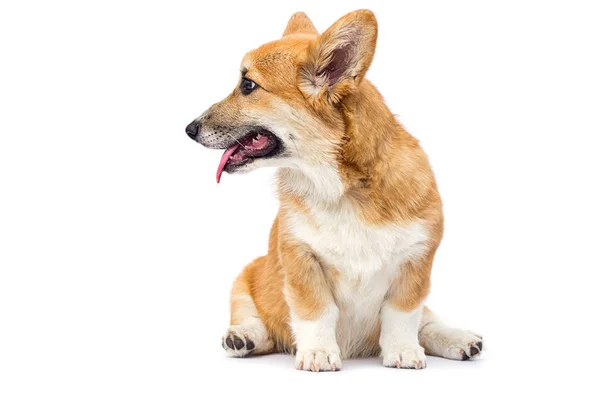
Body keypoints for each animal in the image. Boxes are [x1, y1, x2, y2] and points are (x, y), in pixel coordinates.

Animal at [186, 9, 482, 372]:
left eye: (248, 85)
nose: (189, 129)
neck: (340, 187)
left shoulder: (416, 261)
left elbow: (403, 315)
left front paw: (403, 351)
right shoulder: (301, 258)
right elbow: (317, 311)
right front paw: (318, 353)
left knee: (428, 321)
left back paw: (459, 339)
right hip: (246, 276)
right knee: (254, 318)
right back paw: (242, 336)